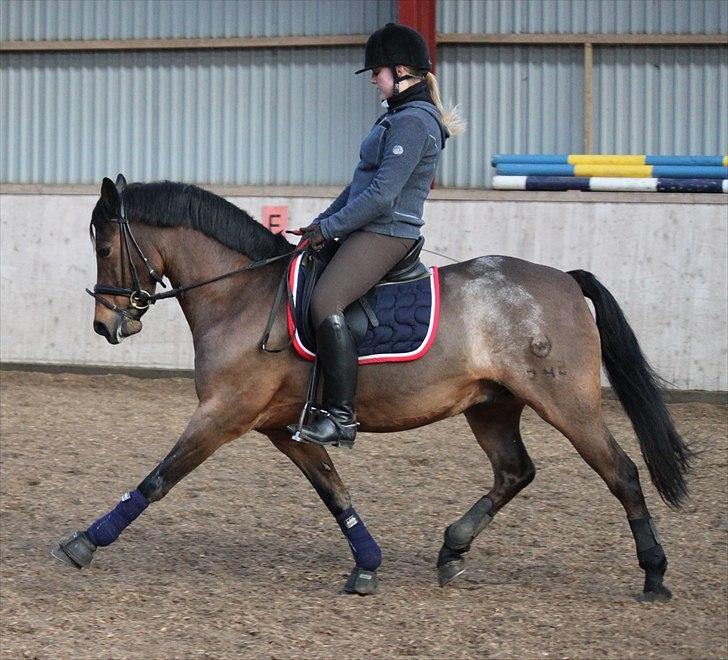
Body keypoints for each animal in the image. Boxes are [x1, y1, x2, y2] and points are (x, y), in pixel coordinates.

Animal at [54, 174, 692, 600]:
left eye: (105, 247)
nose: (107, 325)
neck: (242, 295)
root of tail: (564, 279)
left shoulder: (223, 414)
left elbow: (158, 478)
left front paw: (84, 542)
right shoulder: (282, 427)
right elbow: (333, 491)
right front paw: (368, 564)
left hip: (567, 403)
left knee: (621, 472)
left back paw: (655, 574)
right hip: (491, 406)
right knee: (515, 472)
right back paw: (452, 549)